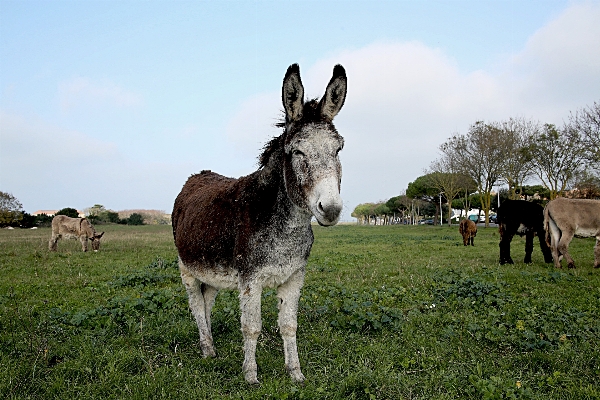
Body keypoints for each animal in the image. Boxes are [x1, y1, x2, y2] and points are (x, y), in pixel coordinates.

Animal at [171, 63, 346, 384]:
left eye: (338, 150)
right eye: (297, 152)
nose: (330, 209)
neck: (287, 226)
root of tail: (197, 175)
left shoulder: (294, 276)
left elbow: (289, 325)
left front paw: (295, 373)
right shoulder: (250, 279)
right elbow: (251, 327)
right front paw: (251, 375)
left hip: (213, 271)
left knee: (207, 300)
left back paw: (211, 345)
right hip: (186, 266)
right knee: (196, 304)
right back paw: (206, 349)